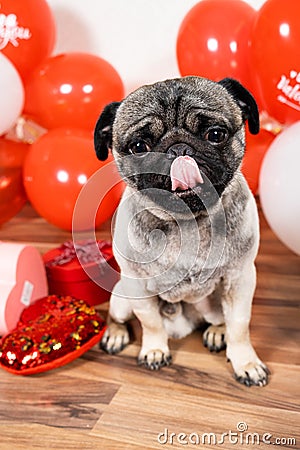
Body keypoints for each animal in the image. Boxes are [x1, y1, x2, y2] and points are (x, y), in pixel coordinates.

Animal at [94, 77, 270, 386]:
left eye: (216, 134)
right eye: (138, 146)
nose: (178, 150)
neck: (188, 220)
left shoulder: (239, 279)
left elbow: (239, 325)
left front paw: (246, 363)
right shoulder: (138, 288)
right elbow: (150, 322)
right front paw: (154, 350)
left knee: (221, 319)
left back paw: (217, 332)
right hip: (122, 296)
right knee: (117, 317)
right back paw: (115, 335)